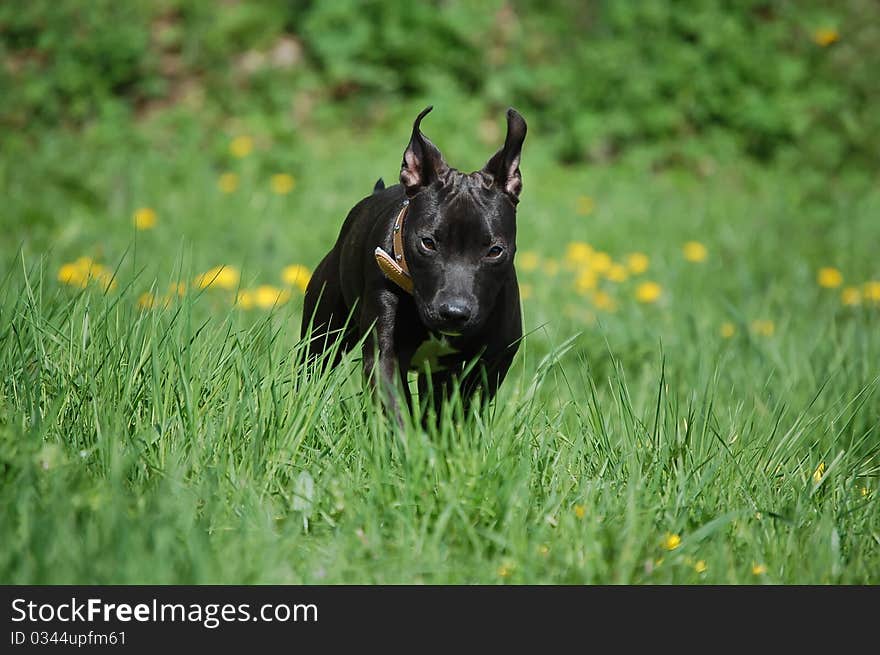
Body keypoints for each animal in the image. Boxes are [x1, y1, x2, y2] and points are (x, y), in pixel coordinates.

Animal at [300, 105, 524, 418]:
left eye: (494, 251)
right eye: (427, 243)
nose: (454, 312)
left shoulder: (490, 364)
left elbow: (460, 411)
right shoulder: (385, 356)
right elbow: (398, 407)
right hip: (324, 330)